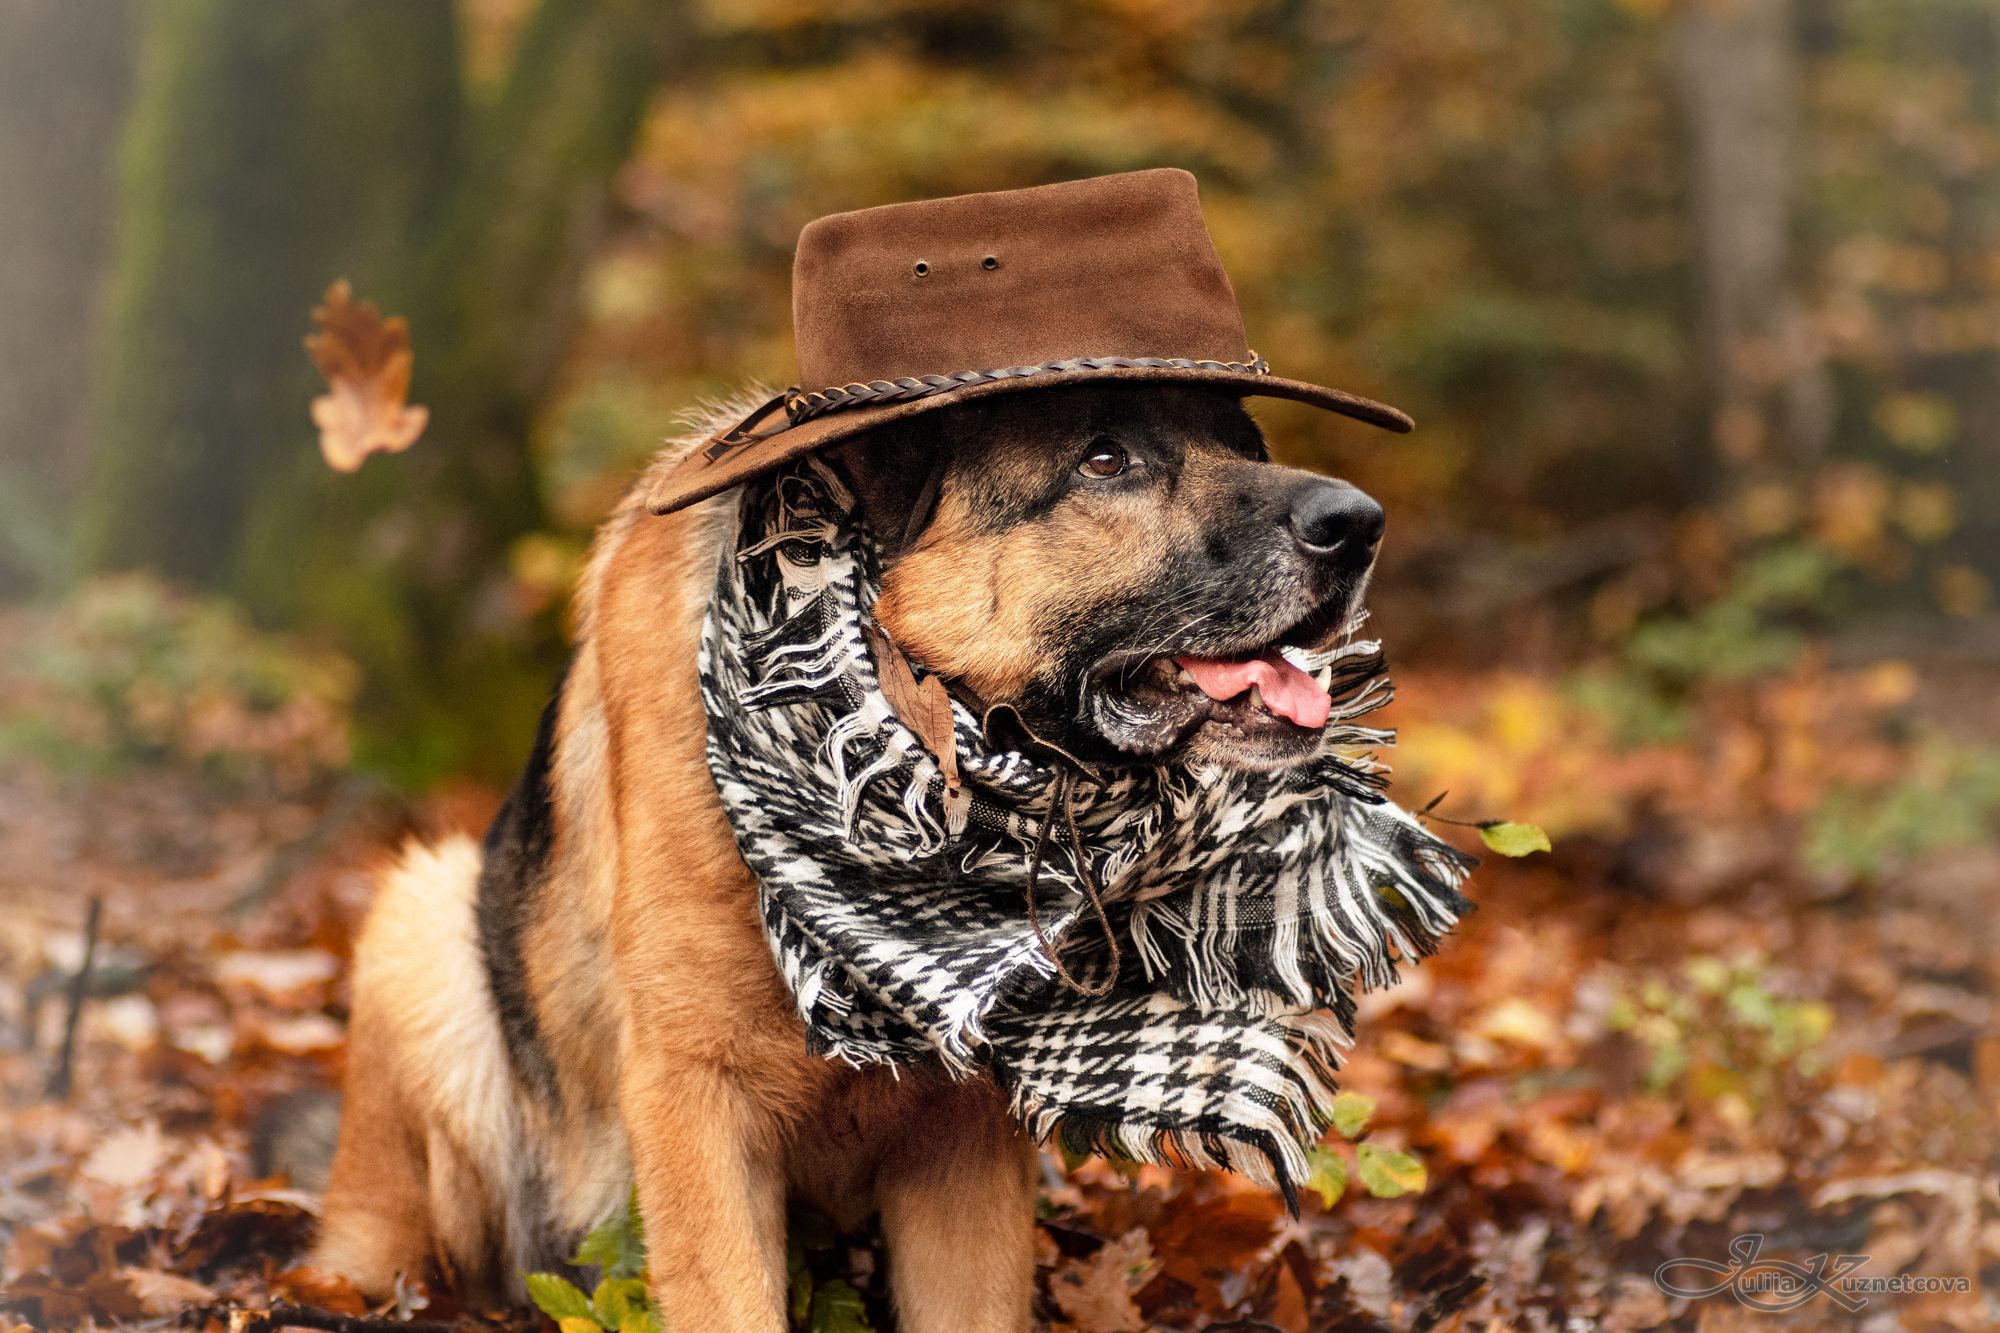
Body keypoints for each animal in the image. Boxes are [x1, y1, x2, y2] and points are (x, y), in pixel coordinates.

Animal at [308, 378, 1392, 1320]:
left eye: (1245, 444)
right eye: (1103, 458)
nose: (1359, 524)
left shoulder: (957, 1143)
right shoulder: (696, 1105)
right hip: (422, 923)